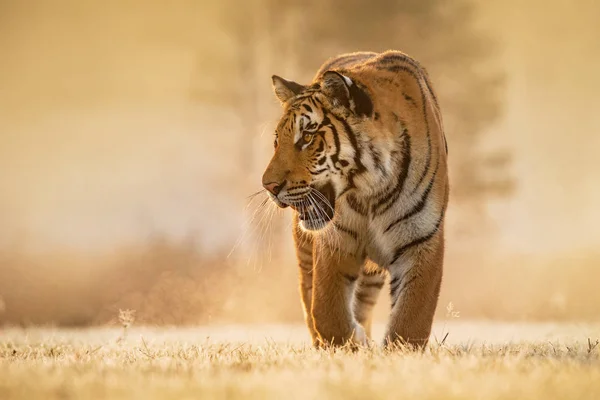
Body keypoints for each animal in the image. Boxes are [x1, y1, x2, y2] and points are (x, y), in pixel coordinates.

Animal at [260, 50, 448, 348]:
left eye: (308, 137)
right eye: (278, 141)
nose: (268, 186)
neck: (370, 189)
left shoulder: (420, 240)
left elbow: (411, 321)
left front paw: (395, 351)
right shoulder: (335, 242)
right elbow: (326, 313)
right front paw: (354, 342)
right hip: (306, 252)